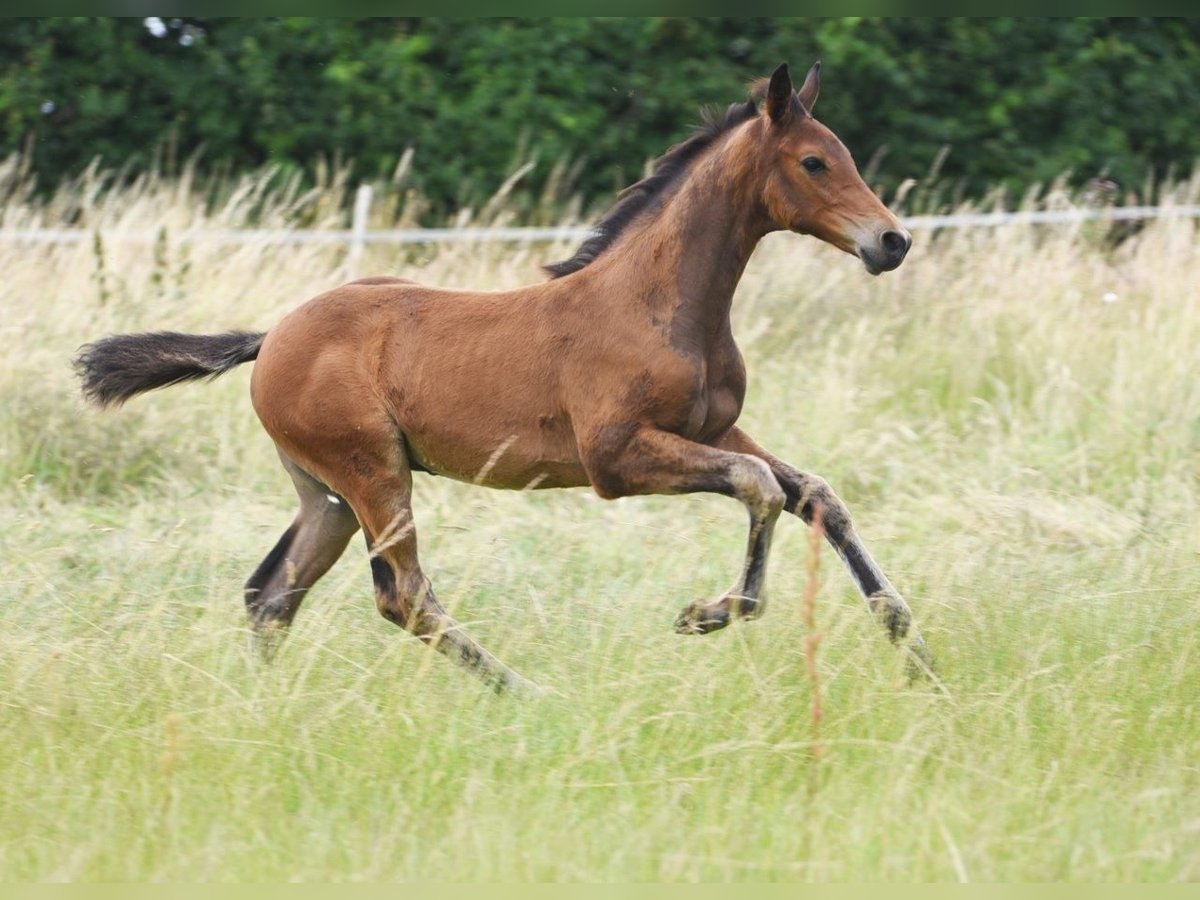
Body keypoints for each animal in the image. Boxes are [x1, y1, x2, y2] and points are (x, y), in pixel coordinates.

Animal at [75, 63, 931, 696]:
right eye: (814, 161)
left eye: (846, 155)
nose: (892, 242)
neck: (660, 301)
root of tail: (272, 336)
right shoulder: (615, 458)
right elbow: (760, 487)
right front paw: (709, 613)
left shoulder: (712, 428)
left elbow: (812, 491)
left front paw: (911, 643)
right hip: (373, 473)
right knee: (401, 594)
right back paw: (526, 692)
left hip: (327, 494)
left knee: (272, 592)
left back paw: (264, 705)